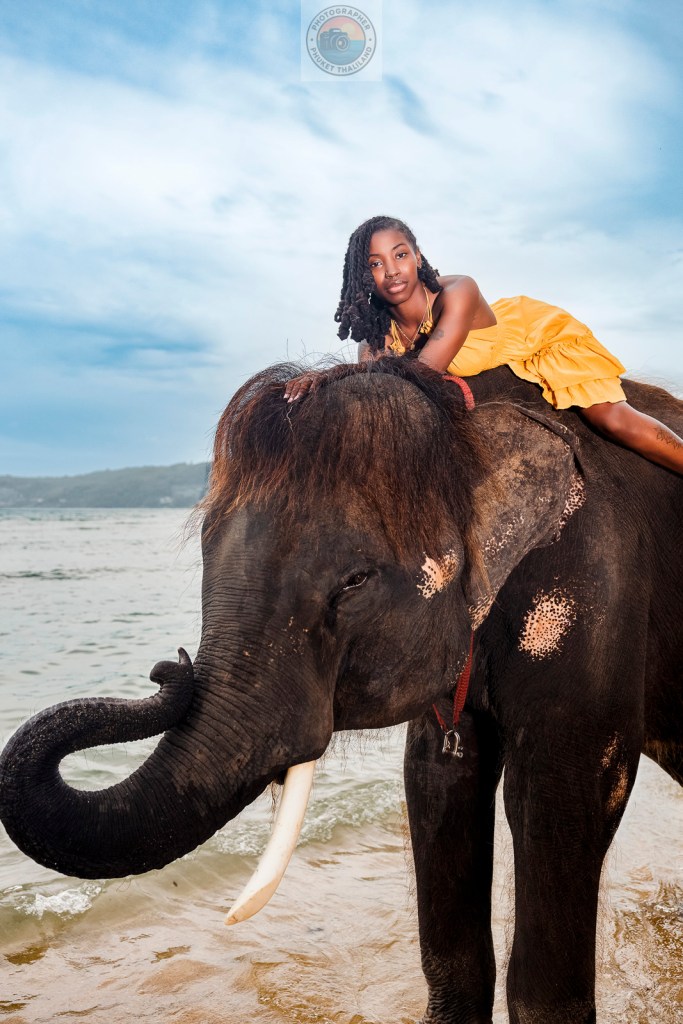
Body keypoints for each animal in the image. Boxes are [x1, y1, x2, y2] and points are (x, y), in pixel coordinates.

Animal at [1, 358, 681, 1024]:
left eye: (353, 583)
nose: (170, 668)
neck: (469, 422)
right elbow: (437, 782)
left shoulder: (595, 586)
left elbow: (560, 794)